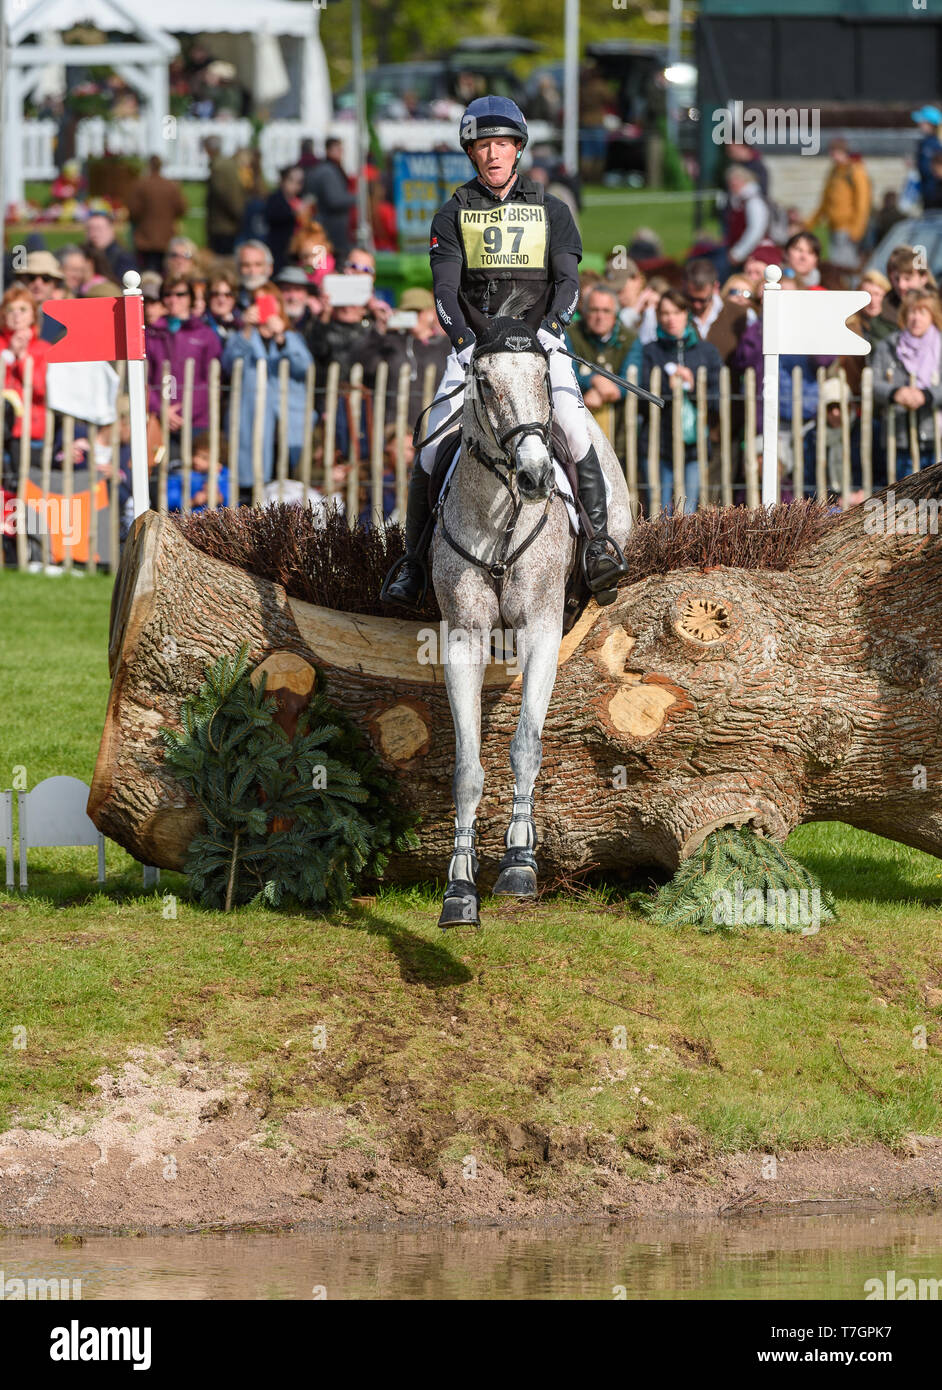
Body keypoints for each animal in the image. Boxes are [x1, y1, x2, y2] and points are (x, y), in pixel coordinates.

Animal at [430, 314, 633, 922]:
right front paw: (460, 886)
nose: (536, 477)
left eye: (542, 377)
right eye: (485, 383)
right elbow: (467, 766)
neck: (499, 513)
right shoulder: (463, 638)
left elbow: (525, 744)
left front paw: (519, 861)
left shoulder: (541, 631)